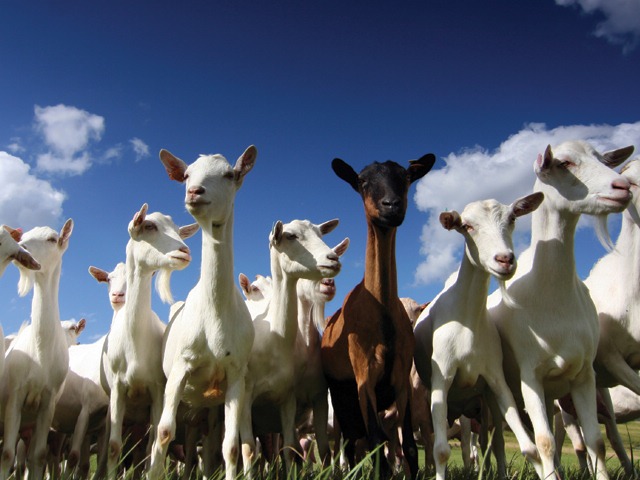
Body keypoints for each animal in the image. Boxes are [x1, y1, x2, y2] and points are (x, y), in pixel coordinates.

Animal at [149, 146, 257, 480]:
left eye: (230, 174)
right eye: (186, 175)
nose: (195, 191)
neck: (215, 313)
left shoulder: (235, 373)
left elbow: (231, 446)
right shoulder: (180, 368)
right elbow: (164, 433)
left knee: (216, 442)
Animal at [321, 153, 435, 478]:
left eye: (406, 177)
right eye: (362, 181)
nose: (391, 205)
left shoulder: (400, 379)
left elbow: (408, 446)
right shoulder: (364, 378)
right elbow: (374, 441)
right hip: (342, 396)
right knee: (352, 442)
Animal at [414, 193, 544, 480]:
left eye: (513, 218)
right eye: (467, 226)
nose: (504, 259)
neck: (468, 321)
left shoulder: (495, 378)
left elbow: (529, 448)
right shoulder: (442, 377)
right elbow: (441, 450)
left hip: (483, 402)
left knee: (491, 442)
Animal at [486, 141, 634, 480]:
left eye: (603, 159)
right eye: (564, 163)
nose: (622, 187)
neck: (552, 295)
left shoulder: (584, 375)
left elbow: (595, 441)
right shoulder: (529, 376)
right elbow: (544, 442)